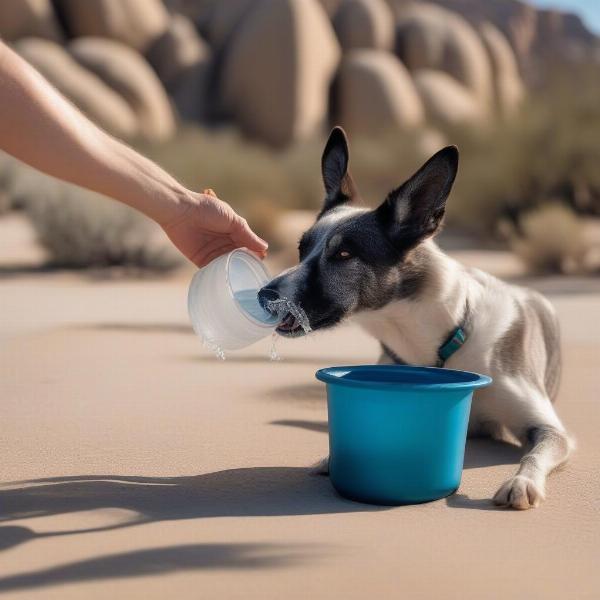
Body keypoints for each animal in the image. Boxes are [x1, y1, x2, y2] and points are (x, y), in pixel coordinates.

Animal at [260, 127, 576, 510]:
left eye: (344, 254)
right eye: (302, 249)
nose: (263, 295)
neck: (440, 342)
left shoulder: (551, 428)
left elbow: (535, 451)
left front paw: (521, 481)